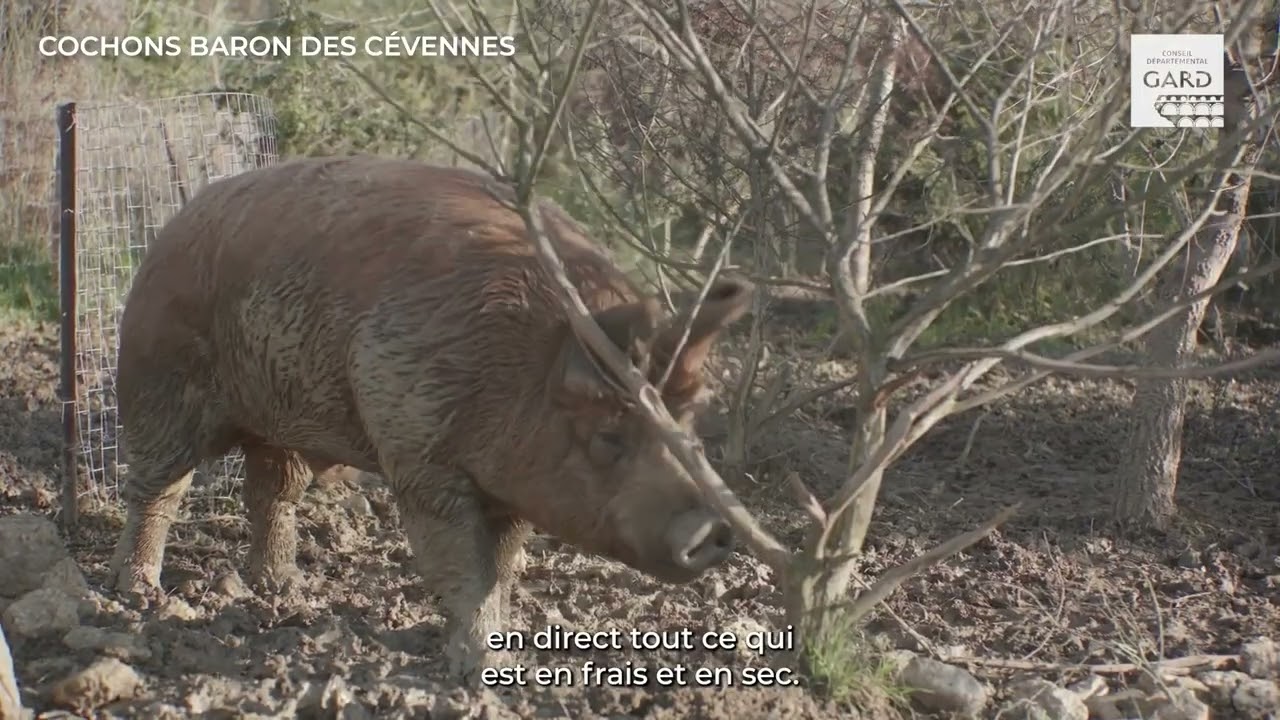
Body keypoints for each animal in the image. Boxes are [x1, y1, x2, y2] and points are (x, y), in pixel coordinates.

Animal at [107, 154, 752, 679]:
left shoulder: (512, 487)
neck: (519, 365)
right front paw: (482, 671)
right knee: (157, 487)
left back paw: (284, 588)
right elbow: (461, 564)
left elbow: (503, 566)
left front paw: (505, 655)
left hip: (278, 417)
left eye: (688, 426)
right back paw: (140, 596)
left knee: (272, 489)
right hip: (156, 381)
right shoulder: (420, 452)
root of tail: (175, 224)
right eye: (608, 437)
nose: (712, 528)